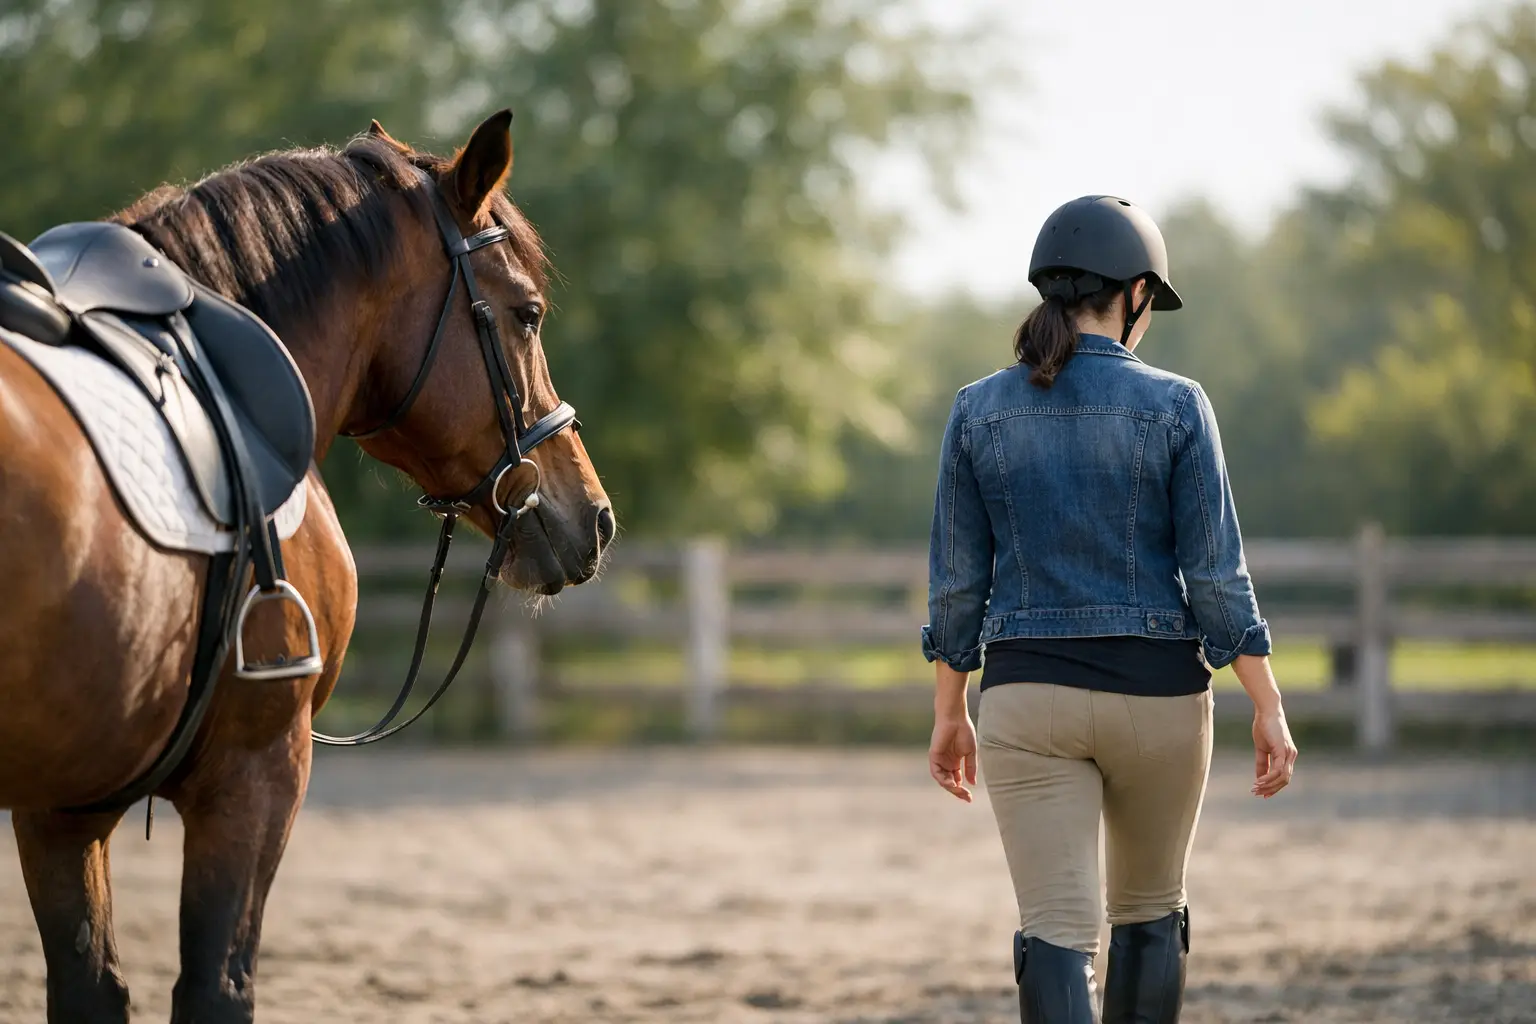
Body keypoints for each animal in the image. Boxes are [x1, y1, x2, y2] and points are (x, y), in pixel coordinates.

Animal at [0, 109, 613, 1023]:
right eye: (528, 313)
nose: (594, 517)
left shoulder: (61, 810)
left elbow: (93, 985)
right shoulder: (257, 777)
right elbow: (216, 986)